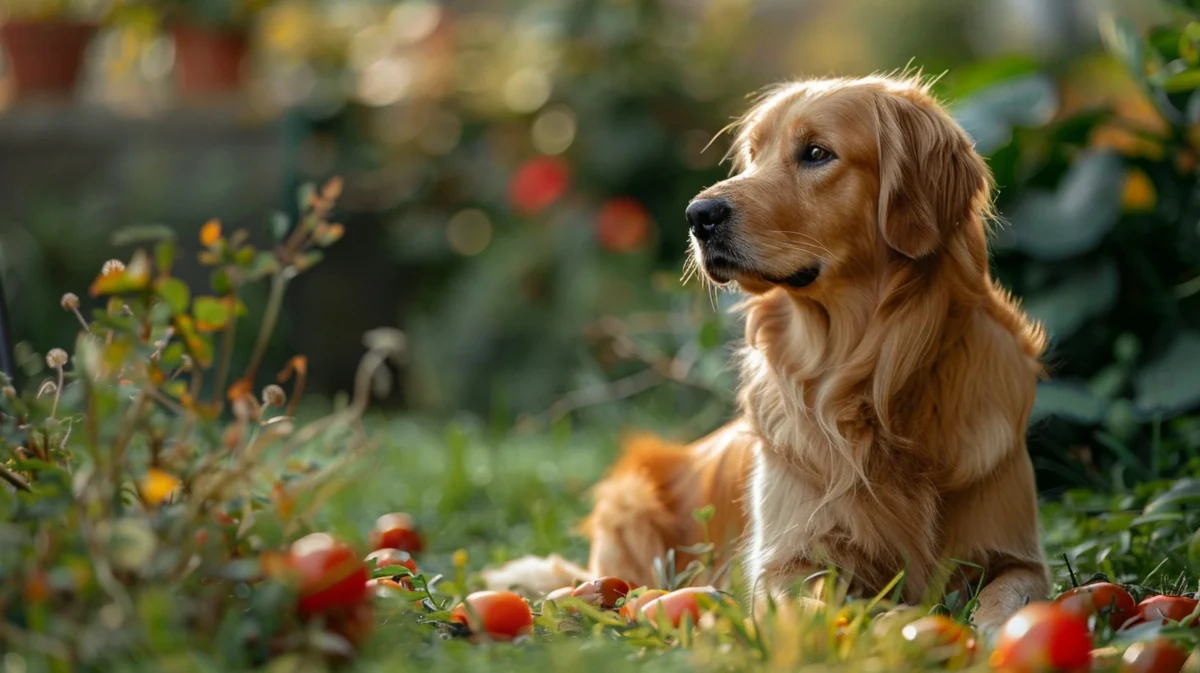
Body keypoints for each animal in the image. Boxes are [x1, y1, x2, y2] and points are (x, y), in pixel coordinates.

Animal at [487, 74, 1051, 633]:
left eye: (816, 153)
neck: (870, 380)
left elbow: (1009, 600)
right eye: (753, 156)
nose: (697, 215)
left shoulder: (1016, 555)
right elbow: (821, 606)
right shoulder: (786, 564)